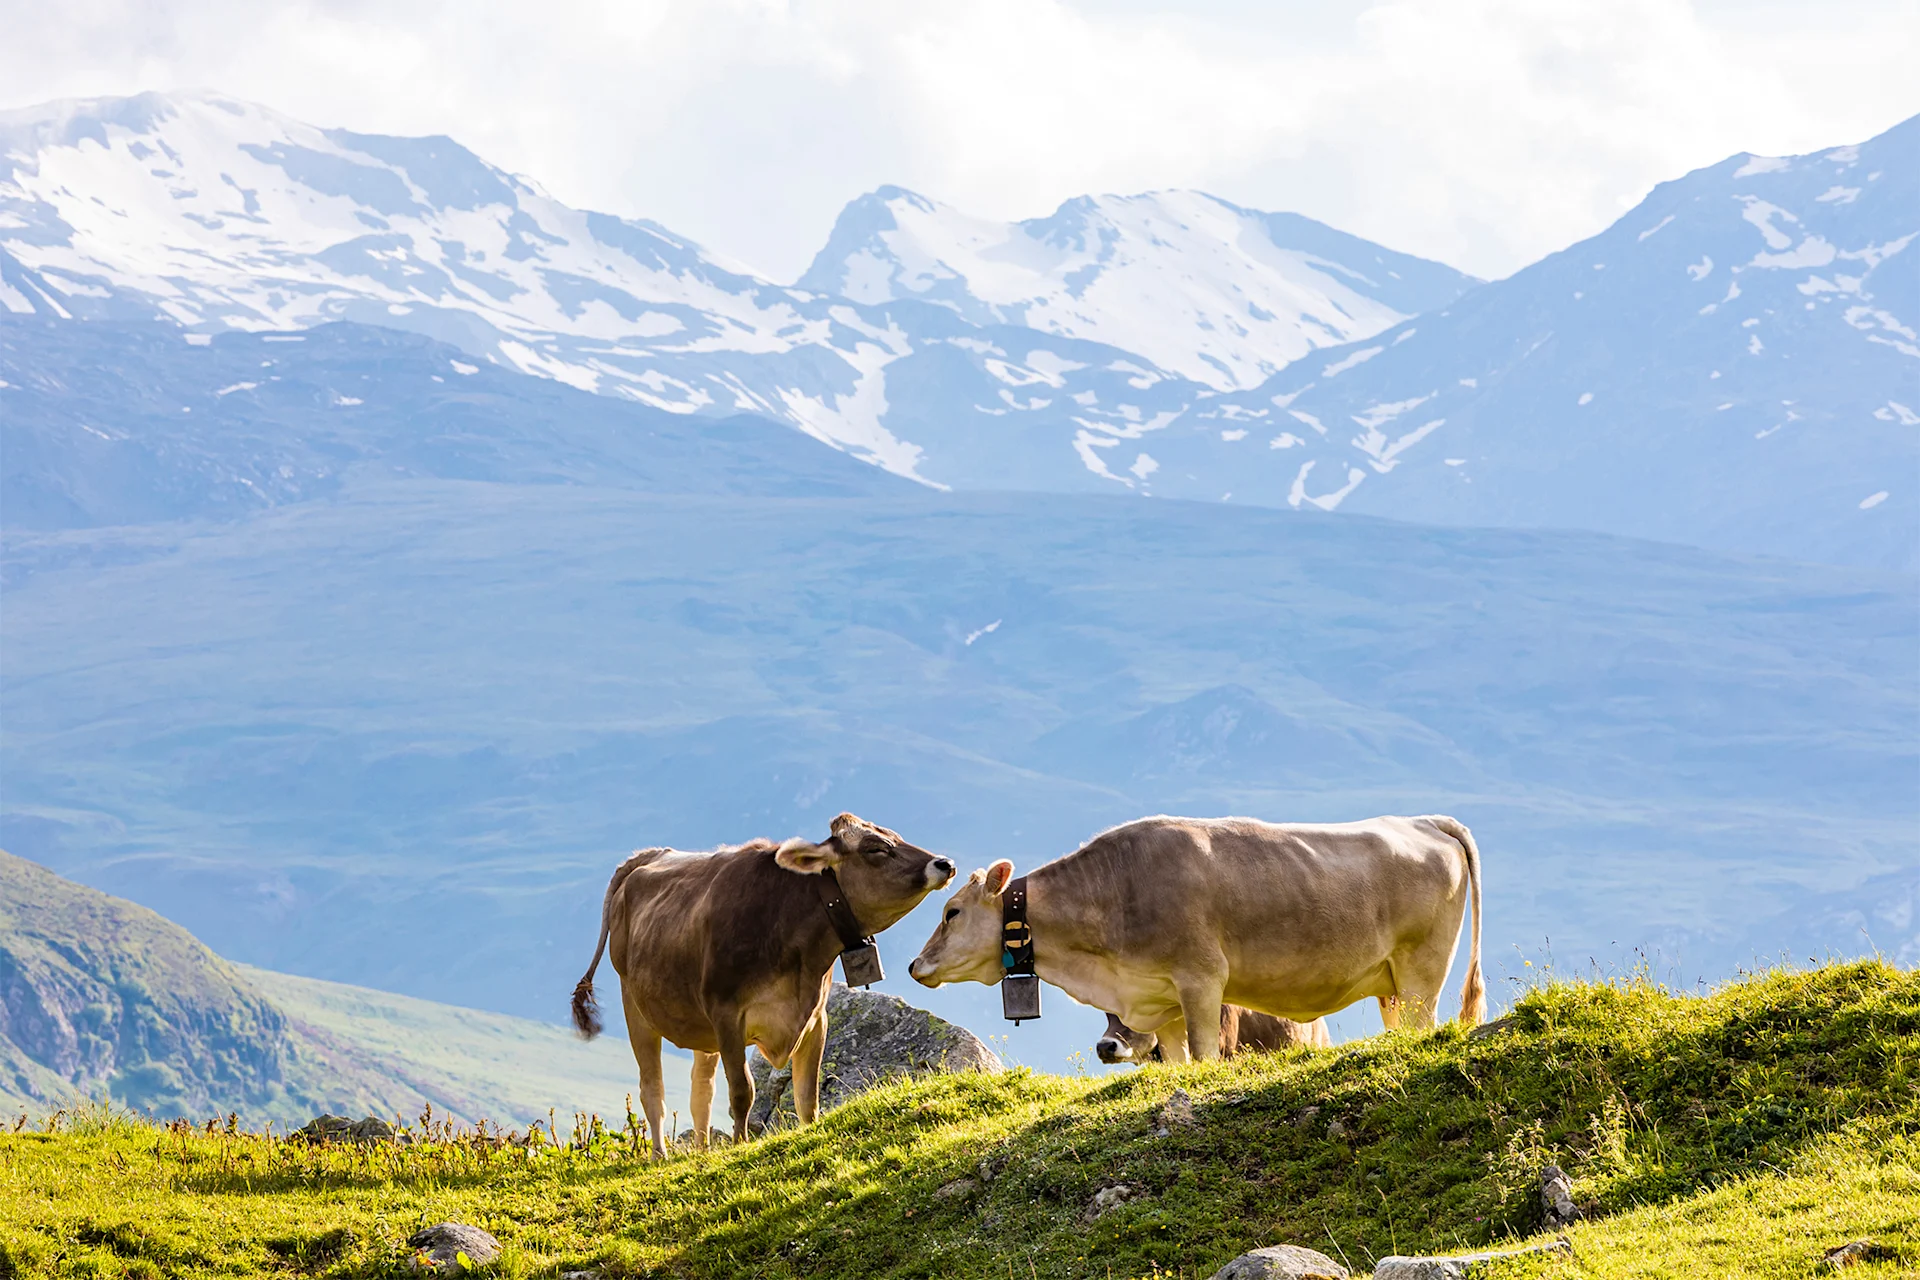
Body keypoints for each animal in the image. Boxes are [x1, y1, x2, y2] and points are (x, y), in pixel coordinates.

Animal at [572, 817, 956, 1159]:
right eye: (875, 848)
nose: (945, 863)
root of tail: (651, 855)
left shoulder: (816, 1017)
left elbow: (807, 1095)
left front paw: (808, 1133)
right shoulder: (727, 1014)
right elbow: (743, 1090)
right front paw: (740, 1144)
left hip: (700, 1027)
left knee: (701, 1091)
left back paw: (702, 1150)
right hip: (635, 1004)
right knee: (652, 1087)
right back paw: (659, 1155)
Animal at [910, 817, 1482, 1059]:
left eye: (952, 911)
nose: (917, 966)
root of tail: (1420, 819)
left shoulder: (1202, 980)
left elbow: (1205, 1054)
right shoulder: (1157, 1000)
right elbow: (1177, 1063)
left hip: (1422, 971)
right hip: (1390, 985)